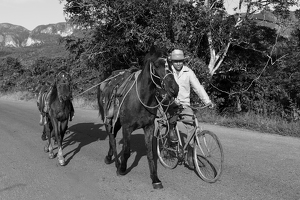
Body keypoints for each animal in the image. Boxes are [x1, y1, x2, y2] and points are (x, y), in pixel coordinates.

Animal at [97, 47, 179, 189]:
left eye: (170, 65)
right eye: (156, 65)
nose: (175, 88)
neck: (140, 98)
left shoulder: (149, 127)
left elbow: (150, 153)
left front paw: (155, 179)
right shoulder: (127, 127)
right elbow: (126, 151)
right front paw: (122, 169)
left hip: (117, 122)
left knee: (112, 136)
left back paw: (109, 157)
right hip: (110, 119)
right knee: (111, 137)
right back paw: (115, 162)